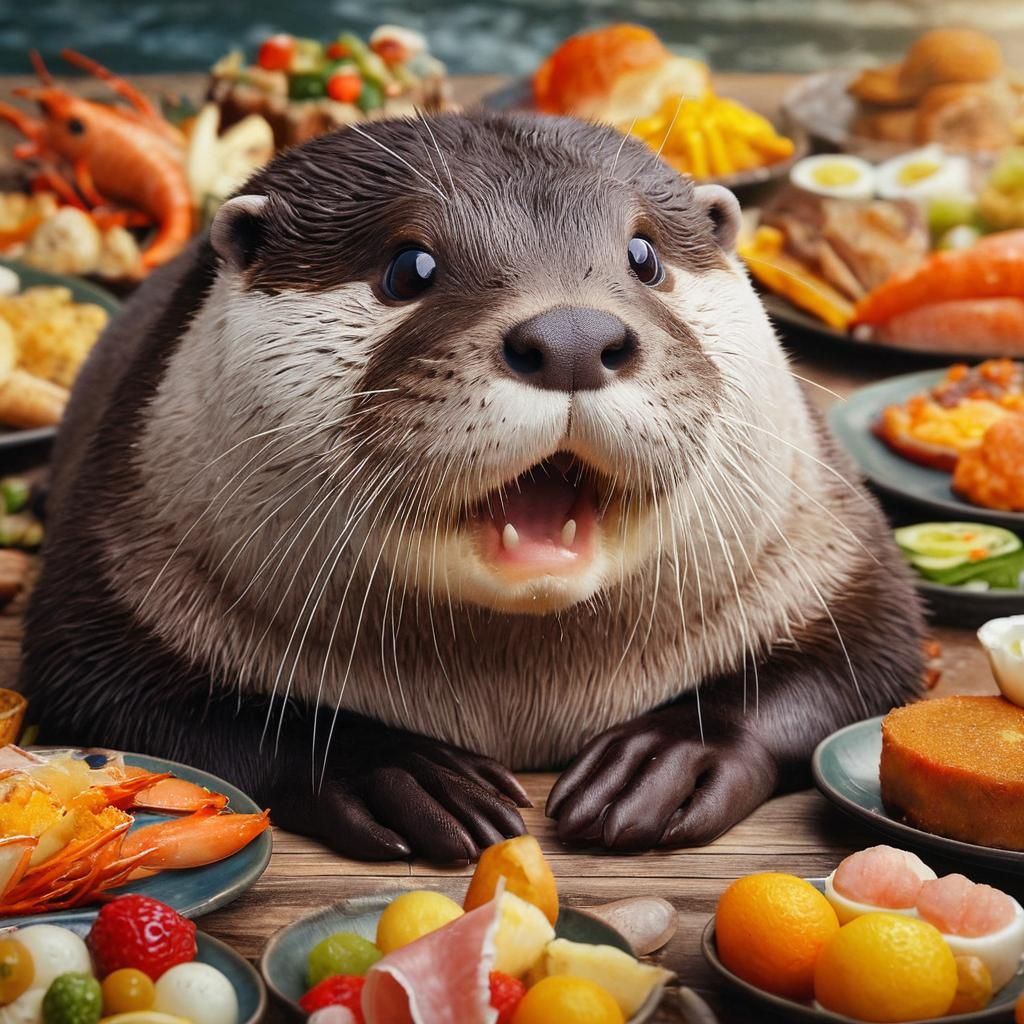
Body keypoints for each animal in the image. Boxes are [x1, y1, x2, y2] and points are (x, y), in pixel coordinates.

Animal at [19, 111, 924, 862]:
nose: (572, 336)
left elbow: (869, 664)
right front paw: (396, 772)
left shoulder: (832, 546)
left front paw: (670, 757)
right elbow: (125, 698)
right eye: (408, 266)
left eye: (645, 256)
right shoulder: (115, 568)